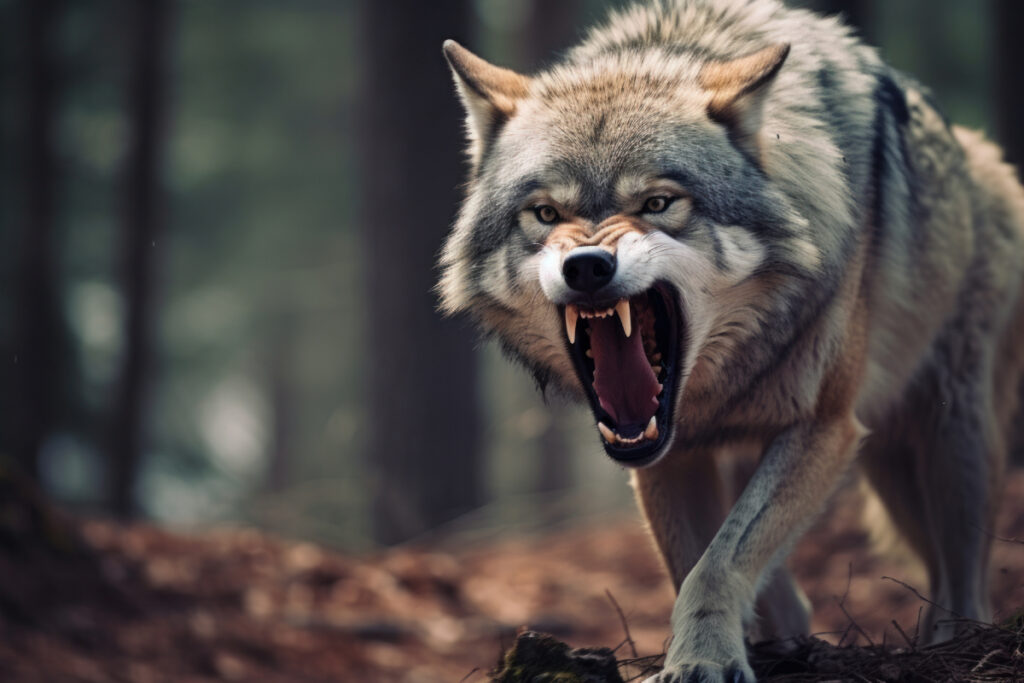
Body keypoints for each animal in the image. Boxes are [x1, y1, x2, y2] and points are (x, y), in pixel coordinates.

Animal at [437, 0, 1024, 680]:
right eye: (546, 214)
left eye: (657, 202)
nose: (586, 266)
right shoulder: (671, 455)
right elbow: (697, 559)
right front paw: (734, 643)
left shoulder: (825, 426)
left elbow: (719, 561)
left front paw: (704, 657)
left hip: (955, 443)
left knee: (964, 584)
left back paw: (947, 641)